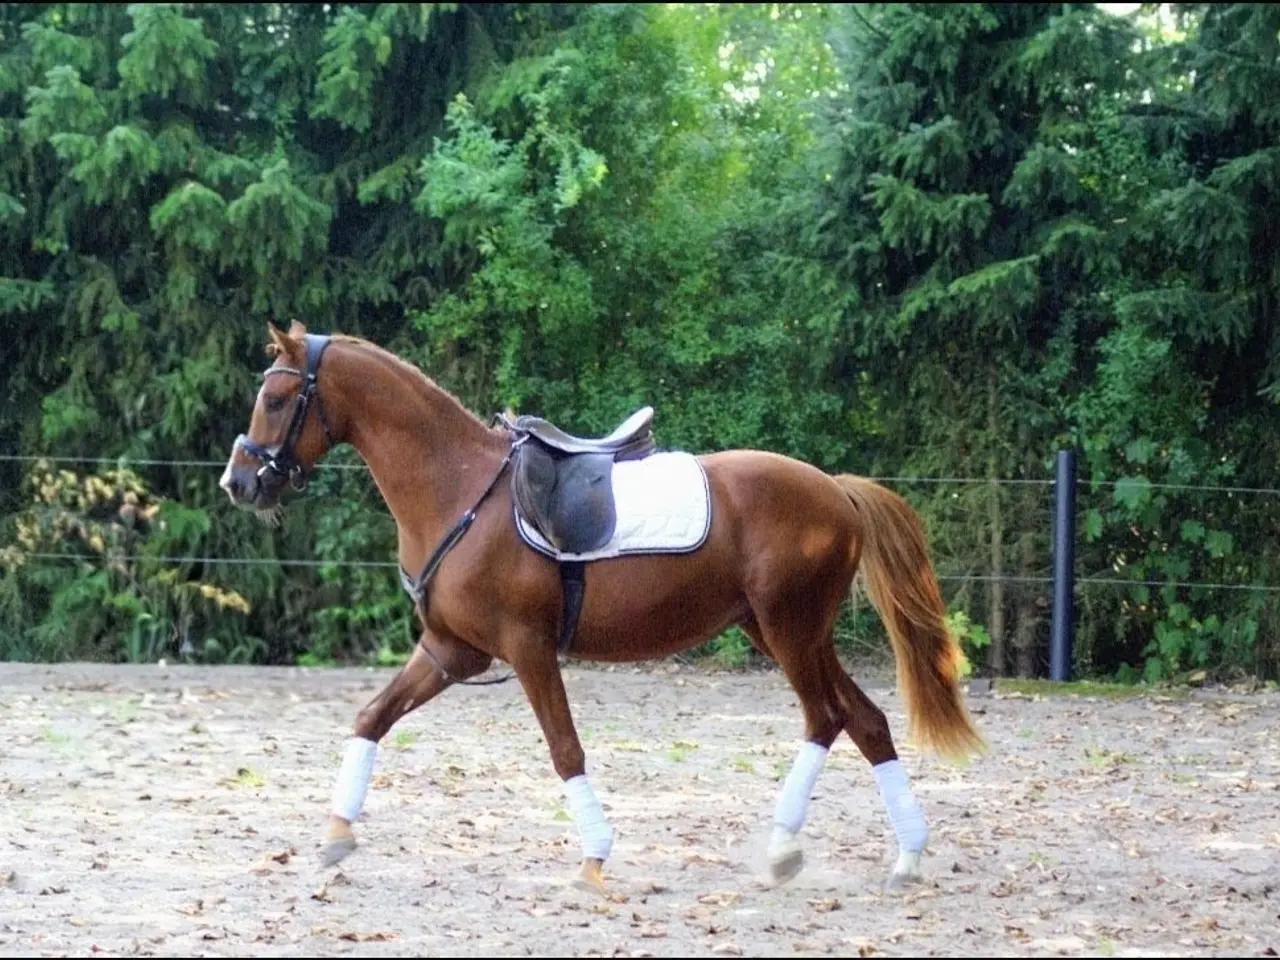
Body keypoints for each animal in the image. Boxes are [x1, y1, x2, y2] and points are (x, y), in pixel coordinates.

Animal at [218, 320, 983, 896]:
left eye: (278, 399)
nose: (238, 482)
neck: (459, 488)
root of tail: (835, 489)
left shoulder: (526, 649)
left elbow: (565, 750)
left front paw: (594, 859)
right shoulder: (449, 651)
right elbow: (372, 717)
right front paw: (337, 834)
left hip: (790, 633)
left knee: (825, 718)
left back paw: (781, 851)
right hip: (785, 633)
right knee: (866, 721)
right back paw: (907, 856)